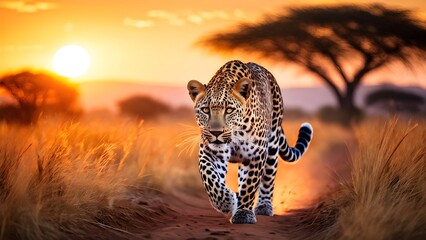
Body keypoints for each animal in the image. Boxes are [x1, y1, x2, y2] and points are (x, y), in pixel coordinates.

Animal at [186, 59, 312, 223]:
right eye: (205, 110)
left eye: (229, 110)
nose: (216, 132)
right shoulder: (211, 153)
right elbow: (210, 178)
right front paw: (227, 202)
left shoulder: (256, 154)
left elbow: (250, 185)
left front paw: (243, 213)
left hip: (272, 146)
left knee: (268, 178)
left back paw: (264, 206)